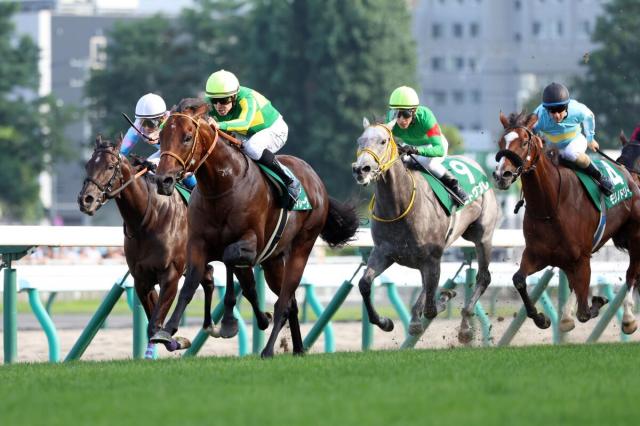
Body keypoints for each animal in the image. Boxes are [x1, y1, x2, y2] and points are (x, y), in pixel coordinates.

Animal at [78, 136, 216, 352]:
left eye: (110, 166)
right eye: (88, 165)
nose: (86, 200)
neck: (149, 220)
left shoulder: (171, 274)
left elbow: (155, 325)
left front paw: (174, 339)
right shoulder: (142, 278)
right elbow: (153, 323)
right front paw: (175, 339)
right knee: (208, 276)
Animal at [151, 98, 360, 358]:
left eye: (187, 137)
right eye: (161, 137)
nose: (163, 180)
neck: (222, 186)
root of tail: (316, 181)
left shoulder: (250, 244)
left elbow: (231, 261)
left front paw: (229, 322)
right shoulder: (198, 243)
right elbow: (192, 283)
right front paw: (166, 331)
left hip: (302, 247)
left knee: (284, 300)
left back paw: (269, 349)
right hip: (273, 260)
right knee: (291, 302)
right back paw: (298, 348)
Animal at [350, 119, 500, 342]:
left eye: (383, 141)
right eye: (360, 140)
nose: (361, 169)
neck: (400, 206)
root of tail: (475, 164)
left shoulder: (432, 258)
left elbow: (431, 308)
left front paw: (445, 297)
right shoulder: (383, 252)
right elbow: (365, 283)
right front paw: (385, 322)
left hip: (483, 236)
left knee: (483, 277)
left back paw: (464, 328)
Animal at [496, 112, 640, 332]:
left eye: (524, 142)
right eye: (500, 142)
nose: (501, 175)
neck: (550, 205)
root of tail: (628, 172)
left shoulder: (582, 257)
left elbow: (584, 312)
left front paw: (597, 301)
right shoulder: (537, 254)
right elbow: (518, 279)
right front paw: (541, 318)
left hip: (635, 236)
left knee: (631, 275)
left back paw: (629, 319)